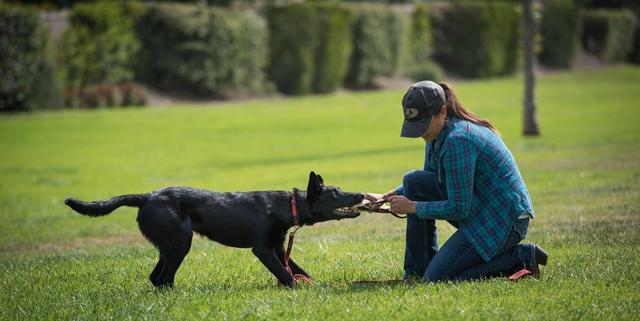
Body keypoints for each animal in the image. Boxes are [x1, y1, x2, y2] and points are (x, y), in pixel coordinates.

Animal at [67, 171, 364, 286]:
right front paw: (296, 288)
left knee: (156, 278)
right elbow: (285, 274)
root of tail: (147, 197)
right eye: (335, 194)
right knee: (164, 279)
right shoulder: (262, 249)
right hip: (180, 244)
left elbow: (298, 270)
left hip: (169, 246)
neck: (287, 205)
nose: (360, 194)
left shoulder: (278, 248)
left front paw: (314, 286)